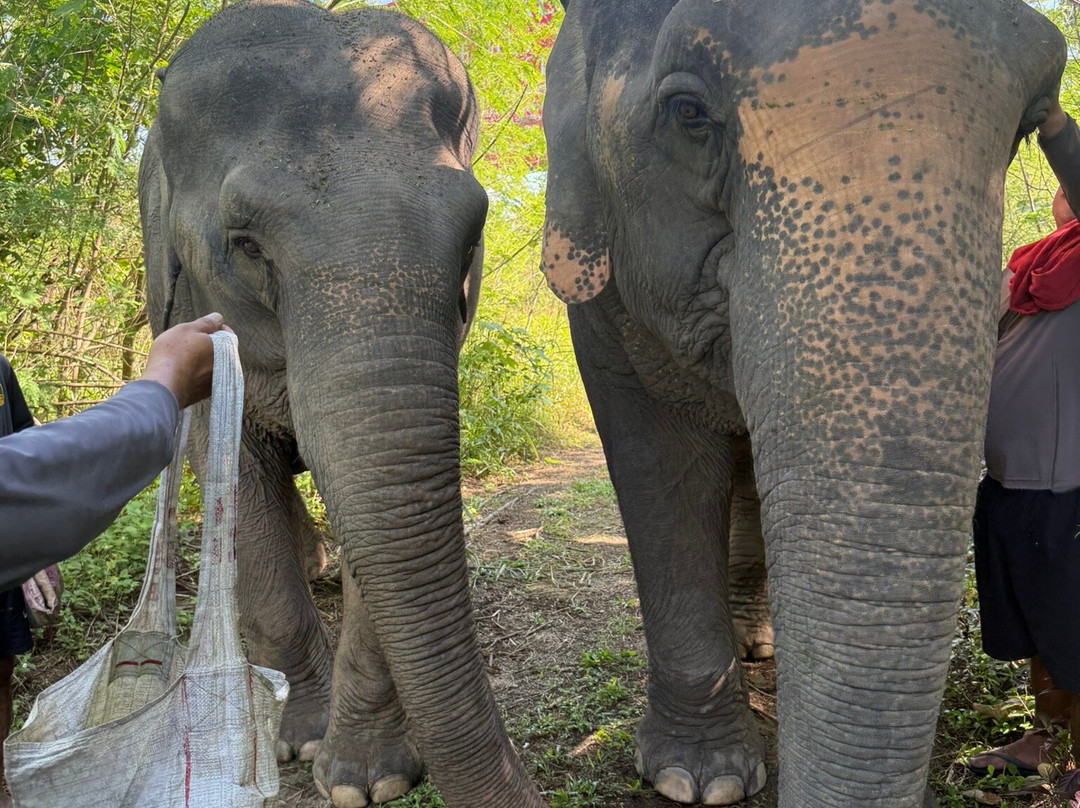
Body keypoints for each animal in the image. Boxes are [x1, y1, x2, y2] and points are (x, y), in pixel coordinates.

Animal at [541, 1, 1065, 806]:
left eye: (1028, 125)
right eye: (688, 113)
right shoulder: (600, 304)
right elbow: (660, 469)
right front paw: (698, 778)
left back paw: (756, 640)